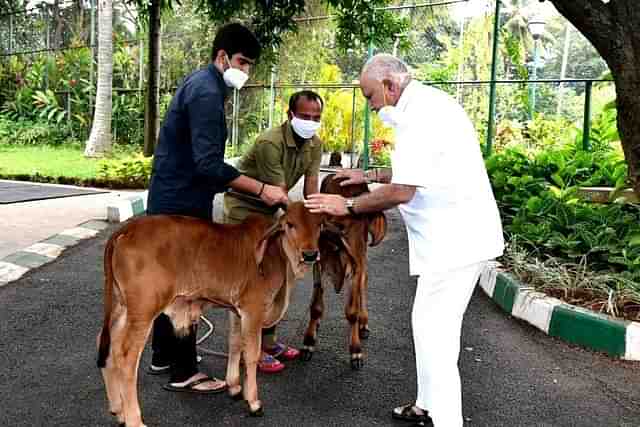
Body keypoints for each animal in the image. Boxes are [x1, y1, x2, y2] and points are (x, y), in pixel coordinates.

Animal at [95, 202, 324, 426]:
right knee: (126, 357)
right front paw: (254, 403)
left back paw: (118, 411)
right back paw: (134, 419)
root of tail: (126, 230)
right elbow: (251, 354)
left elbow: (234, 344)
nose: (310, 254)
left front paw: (234, 387)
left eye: (319, 225)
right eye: (290, 224)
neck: (277, 253)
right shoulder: (253, 309)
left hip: (121, 307)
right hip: (143, 310)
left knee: (107, 345)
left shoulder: (236, 310)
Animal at [300, 176, 384, 372]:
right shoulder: (320, 266)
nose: (329, 234)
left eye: (358, 219)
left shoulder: (356, 266)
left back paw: (363, 322)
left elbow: (351, 311)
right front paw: (309, 342)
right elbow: (316, 307)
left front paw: (356, 351)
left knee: (363, 284)